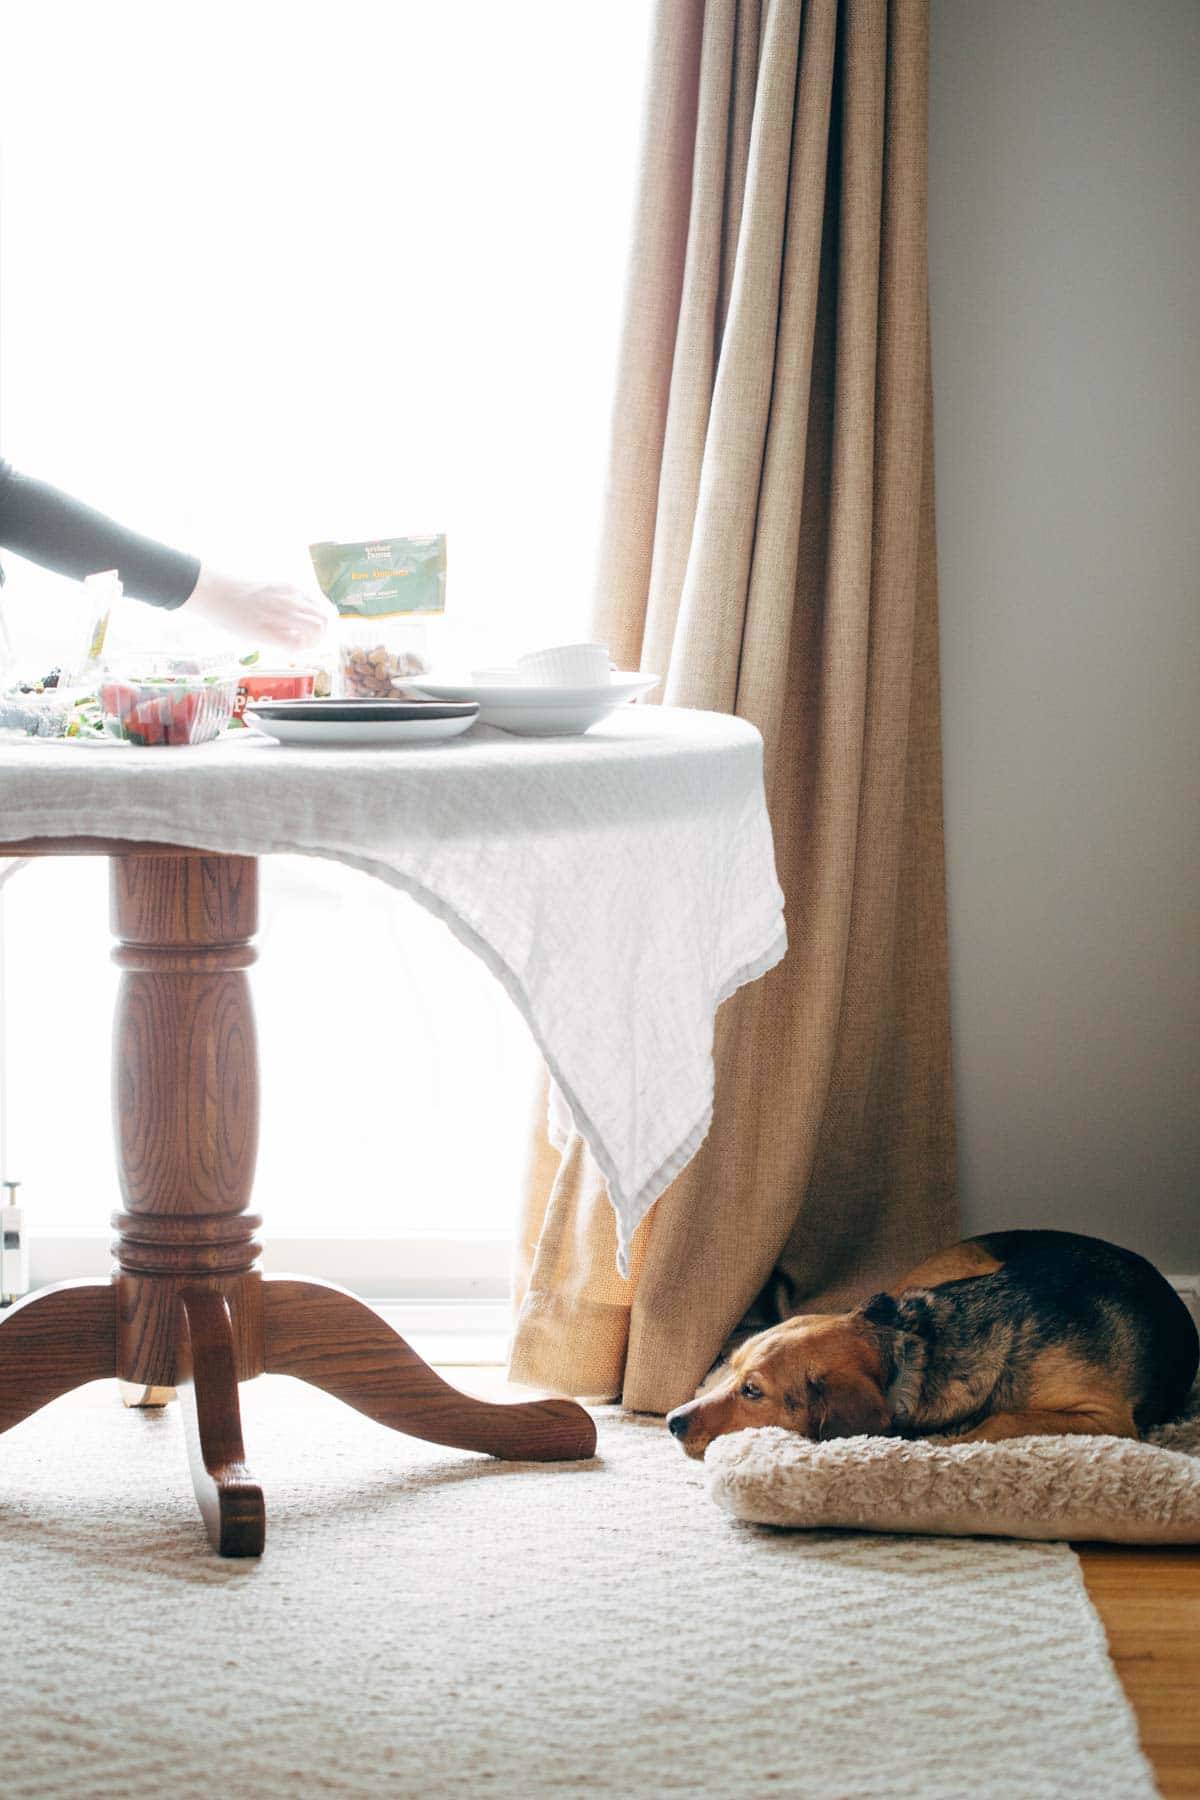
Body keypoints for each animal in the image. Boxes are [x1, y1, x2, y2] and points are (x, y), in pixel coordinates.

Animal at [672, 1224, 1194, 1461]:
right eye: (732, 1370)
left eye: (753, 1391)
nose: (673, 1423)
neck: (913, 1349)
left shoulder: (1106, 1418)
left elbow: (1004, 1418)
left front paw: (952, 1444)